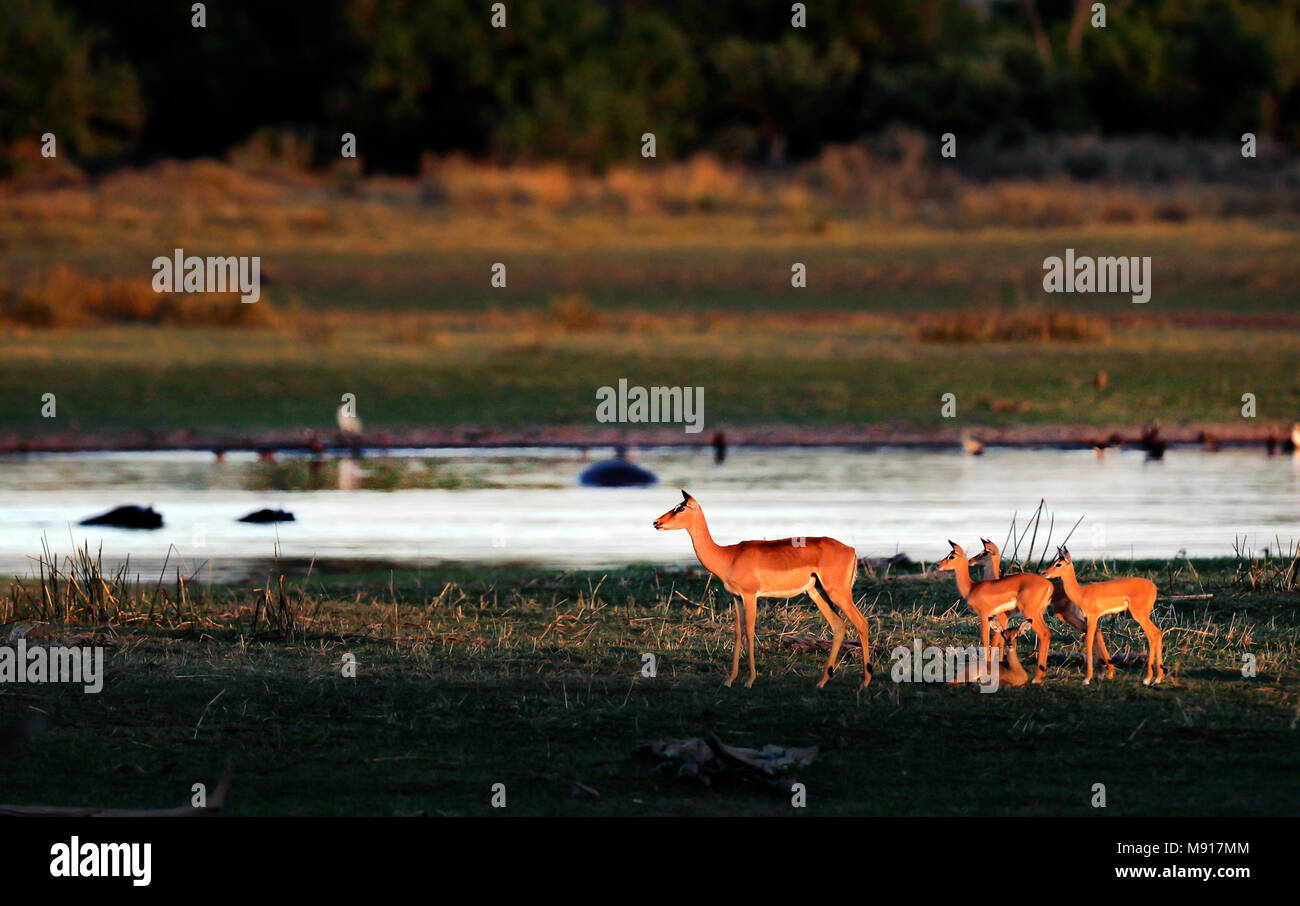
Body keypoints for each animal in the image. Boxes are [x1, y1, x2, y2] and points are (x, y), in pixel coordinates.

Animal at [652, 491, 870, 688]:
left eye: (680, 508)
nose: (656, 522)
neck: (728, 557)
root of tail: (851, 550)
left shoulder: (750, 596)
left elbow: (749, 632)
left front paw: (749, 680)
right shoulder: (737, 597)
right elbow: (738, 633)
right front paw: (729, 680)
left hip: (838, 593)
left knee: (861, 623)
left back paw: (865, 682)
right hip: (817, 592)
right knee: (839, 626)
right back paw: (822, 681)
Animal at [935, 541, 1055, 683]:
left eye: (951, 556)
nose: (938, 565)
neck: (971, 588)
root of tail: (1049, 585)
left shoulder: (985, 615)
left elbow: (986, 640)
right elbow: (997, 640)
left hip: (1030, 613)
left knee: (1044, 634)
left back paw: (1037, 678)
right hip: (1037, 614)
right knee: (1047, 633)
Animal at [969, 538, 1111, 666]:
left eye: (984, 553)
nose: (971, 560)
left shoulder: (1003, 617)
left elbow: (995, 641)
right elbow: (1001, 641)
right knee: (1094, 630)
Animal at [1043, 547, 1165, 685]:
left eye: (1058, 564)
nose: (1044, 573)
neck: (1081, 593)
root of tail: (1154, 587)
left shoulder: (1093, 616)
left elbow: (1089, 639)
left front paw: (1087, 679)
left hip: (1140, 615)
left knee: (1152, 634)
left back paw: (1147, 679)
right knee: (1157, 633)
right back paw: (1158, 678)